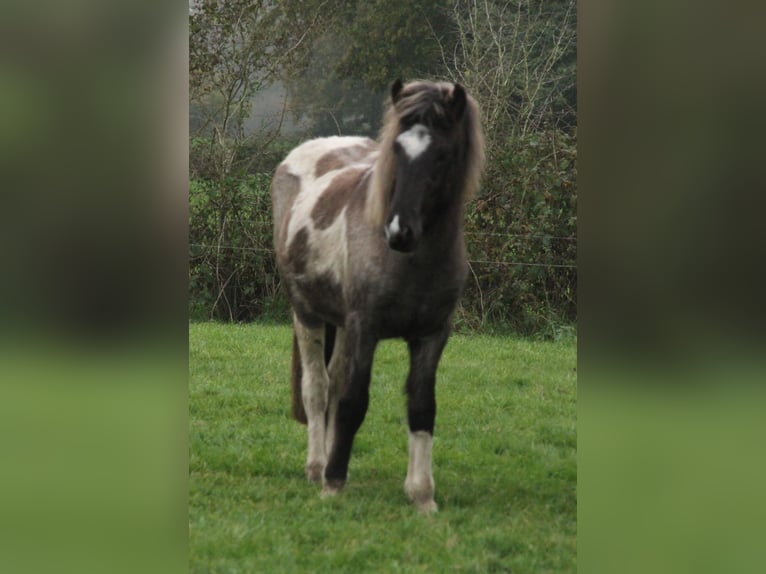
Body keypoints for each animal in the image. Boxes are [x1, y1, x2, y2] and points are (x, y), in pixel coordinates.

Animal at [272, 80, 486, 512]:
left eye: (442, 155)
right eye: (396, 151)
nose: (400, 232)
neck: (412, 263)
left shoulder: (433, 335)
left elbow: (422, 406)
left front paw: (422, 496)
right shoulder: (365, 327)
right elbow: (354, 401)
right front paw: (334, 483)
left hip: (339, 323)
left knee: (333, 383)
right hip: (307, 314)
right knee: (317, 389)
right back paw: (317, 466)